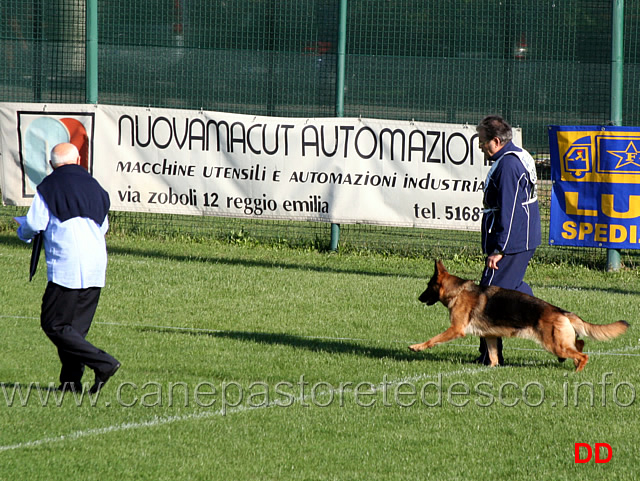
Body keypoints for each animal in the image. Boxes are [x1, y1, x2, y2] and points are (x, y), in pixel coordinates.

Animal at [408, 260, 628, 370]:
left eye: (428, 286)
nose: (418, 298)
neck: (458, 291)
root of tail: (559, 310)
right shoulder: (490, 336)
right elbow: (493, 356)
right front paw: (491, 368)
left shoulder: (456, 329)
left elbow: (433, 339)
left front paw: (417, 346)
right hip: (559, 341)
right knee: (579, 343)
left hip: (552, 344)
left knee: (583, 354)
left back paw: (576, 370)